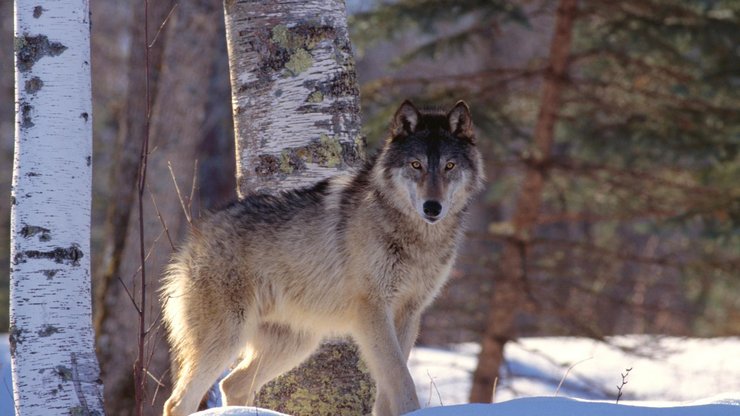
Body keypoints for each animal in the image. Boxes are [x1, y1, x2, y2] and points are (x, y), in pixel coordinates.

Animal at [161, 101, 482, 416]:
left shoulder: (409, 314)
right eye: (416, 165)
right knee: (177, 402)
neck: (418, 240)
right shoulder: (372, 311)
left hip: (297, 345)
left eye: (449, 166)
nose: (432, 207)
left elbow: (390, 384)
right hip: (228, 339)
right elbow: (401, 379)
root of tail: (194, 236)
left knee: (231, 384)